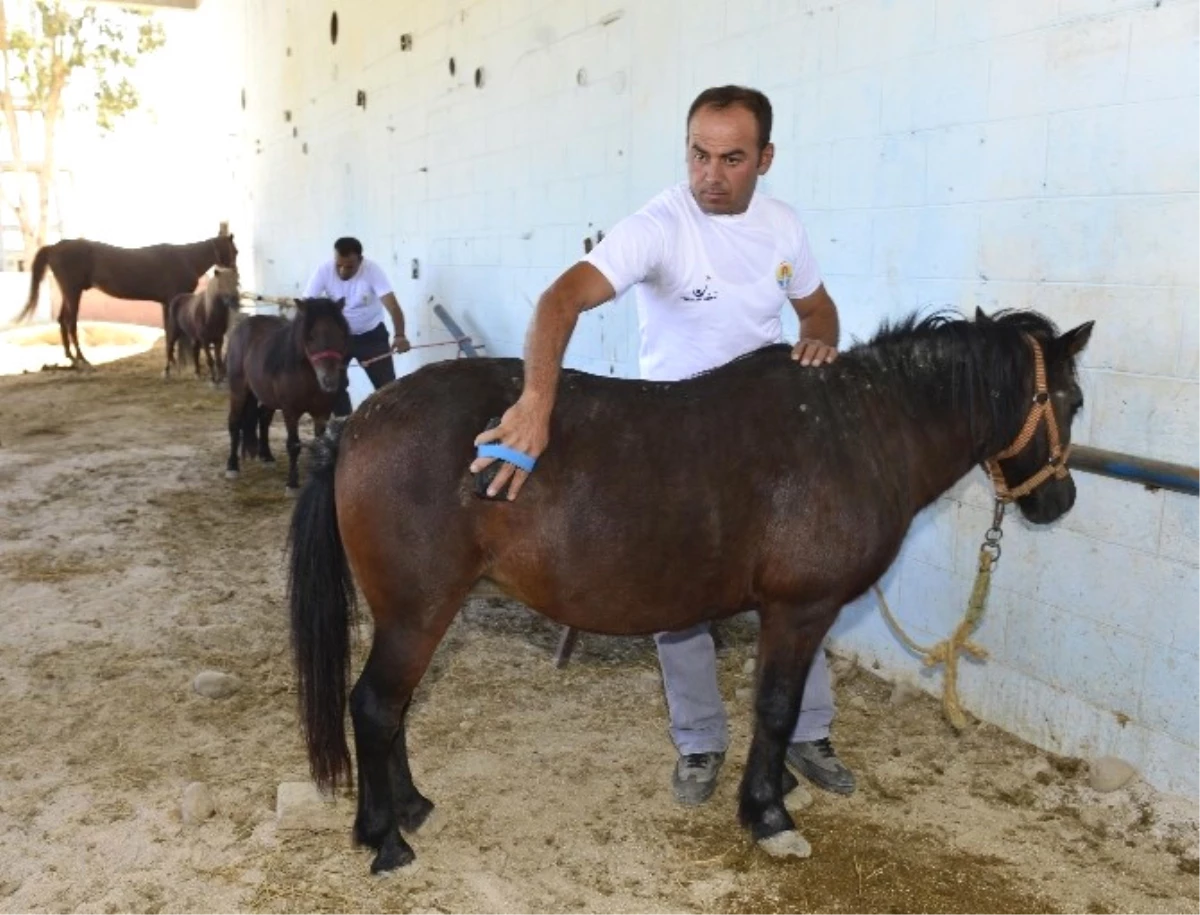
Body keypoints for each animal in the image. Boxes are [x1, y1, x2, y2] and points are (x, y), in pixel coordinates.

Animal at [18, 229, 237, 365]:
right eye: (235, 251)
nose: (235, 275)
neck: (187, 259)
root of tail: (54, 247)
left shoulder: (166, 303)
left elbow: (169, 331)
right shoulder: (173, 300)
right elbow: (175, 332)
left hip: (69, 292)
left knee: (62, 321)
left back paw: (72, 359)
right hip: (73, 292)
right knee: (70, 322)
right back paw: (83, 360)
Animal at [224, 297, 350, 492]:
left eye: (341, 335)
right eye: (310, 336)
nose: (329, 380)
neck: (308, 377)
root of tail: (242, 325)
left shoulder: (322, 413)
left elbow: (320, 444)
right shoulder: (290, 411)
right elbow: (293, 445)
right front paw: (292, 483)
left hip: (267, 397)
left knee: (264, 420)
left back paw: (267, 457)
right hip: (238, 391)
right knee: (234, 423)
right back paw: (232, 467)